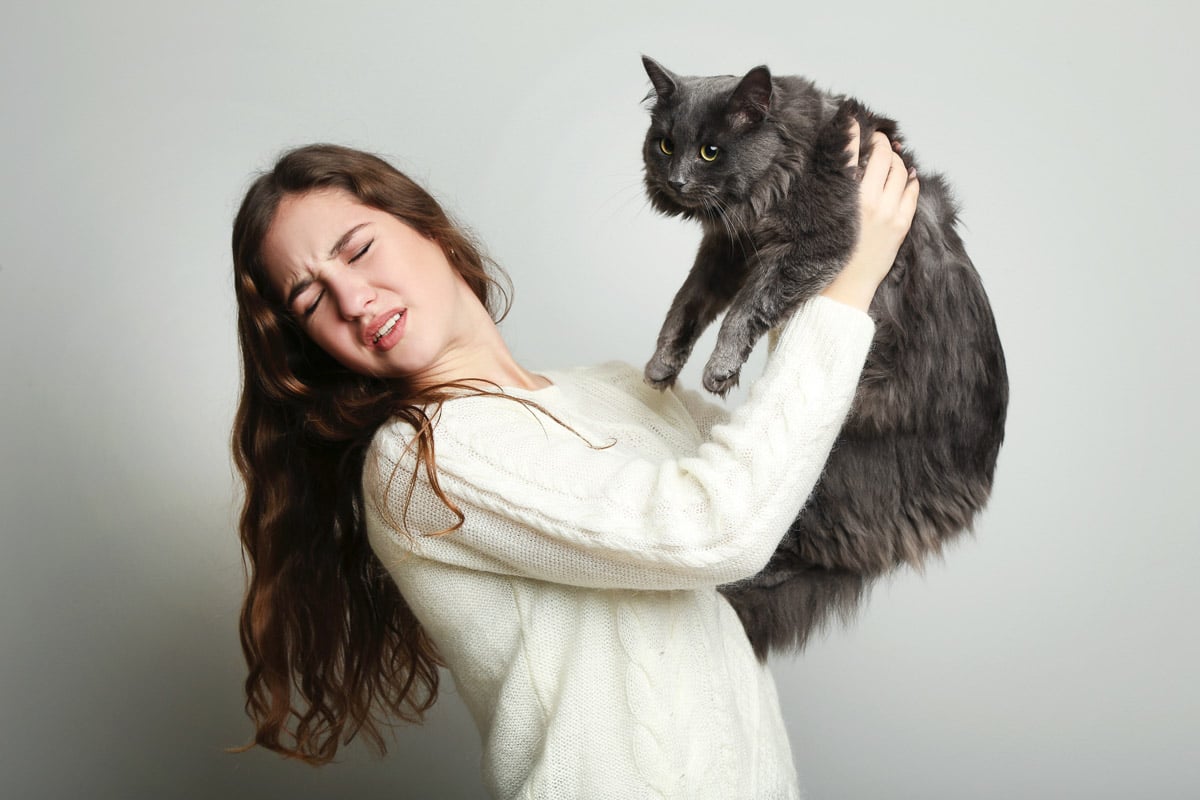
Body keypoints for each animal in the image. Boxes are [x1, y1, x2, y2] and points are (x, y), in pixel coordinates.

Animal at [643, 54, 1008, 657]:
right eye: (666, 144)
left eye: (710, 151)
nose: (675, 181)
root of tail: (973, 494)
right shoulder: (728, 248)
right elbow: (686, 304)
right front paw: (662, 364)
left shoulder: (817, 241)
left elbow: (744, 308)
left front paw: (719, 369)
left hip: (831, 474)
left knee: (803, 553)